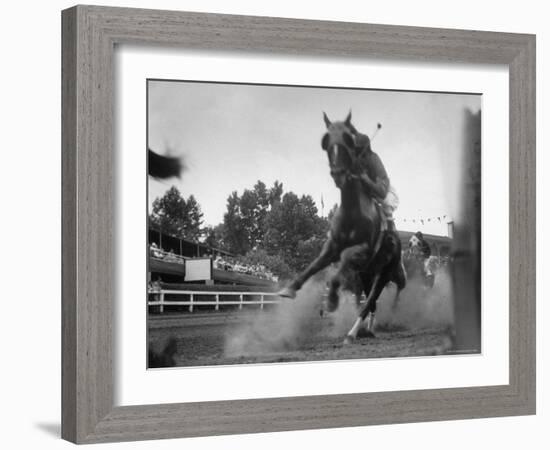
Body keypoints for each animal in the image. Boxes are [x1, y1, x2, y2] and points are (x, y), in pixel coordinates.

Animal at [280, 111, 406, 342]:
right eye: (326, 141)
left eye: (348, 139)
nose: (338, 173)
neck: (353, 212)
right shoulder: (333, 244)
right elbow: (316, 263)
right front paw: (290, 288)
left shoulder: (362, 251)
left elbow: (341, 267)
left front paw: (331, 299)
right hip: (367, 274)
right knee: (371, 304)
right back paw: (368, 330)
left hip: (384, 273)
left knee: (370, 301)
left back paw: (352, 333)